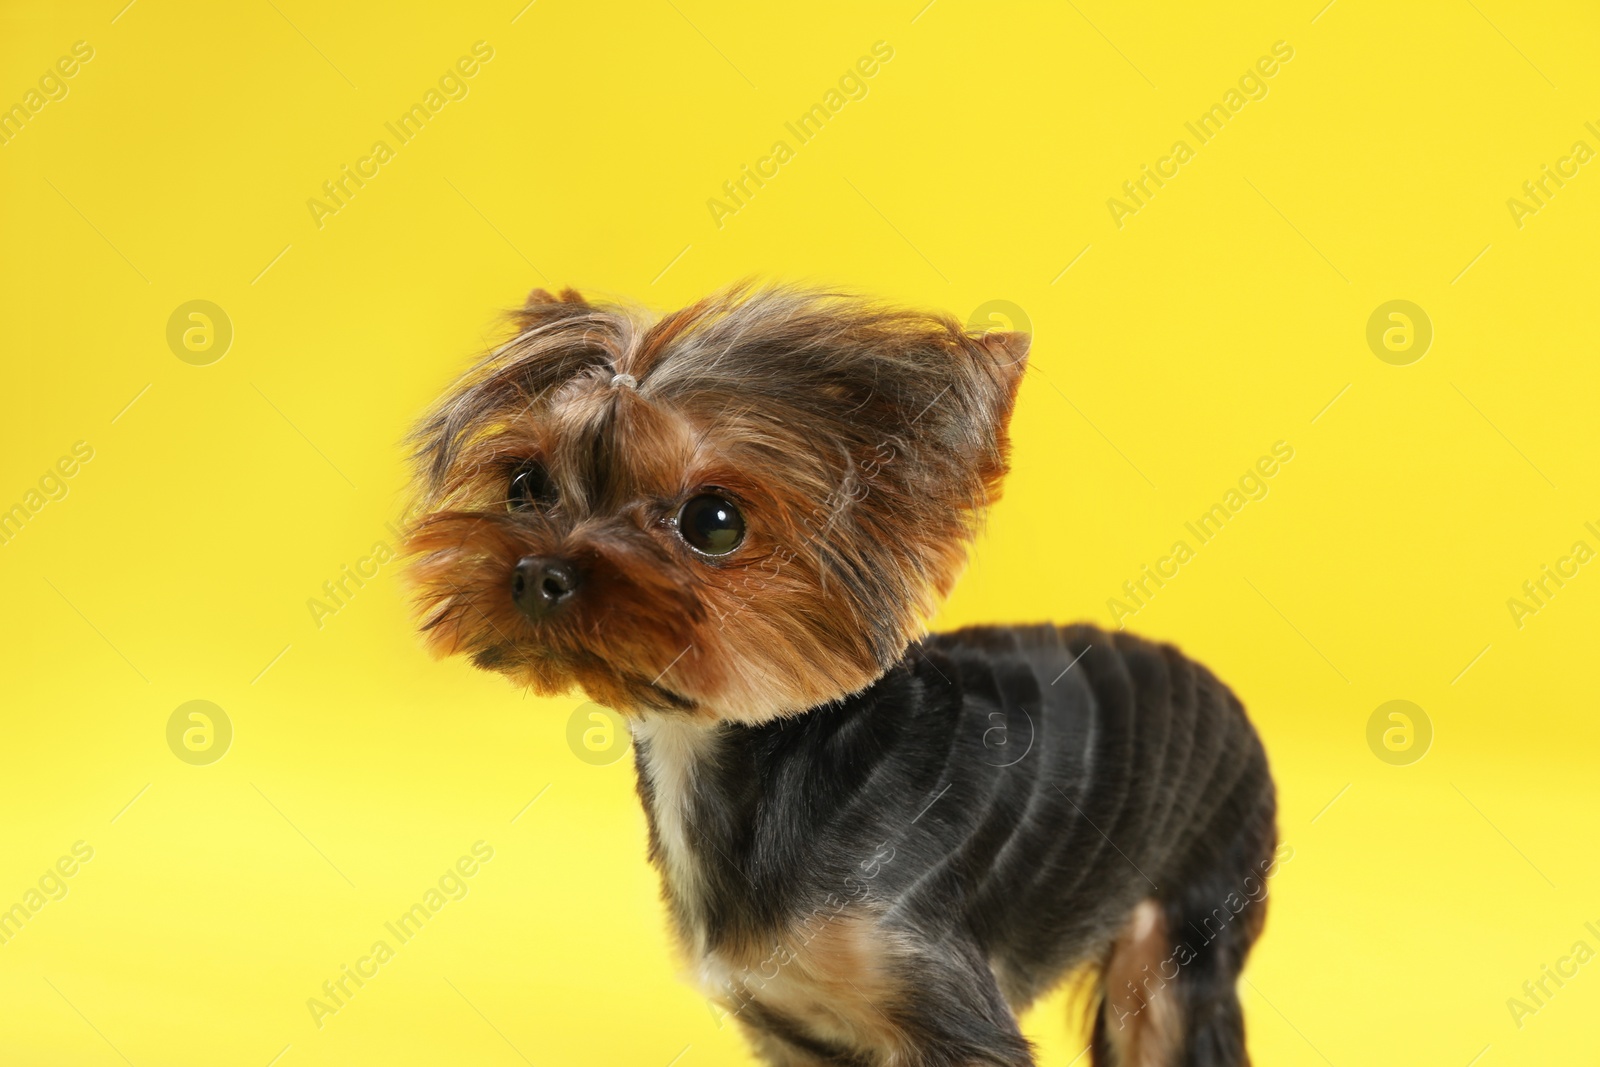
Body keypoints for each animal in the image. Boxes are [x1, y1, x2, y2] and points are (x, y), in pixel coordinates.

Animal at [406, 286, 1280, 1067]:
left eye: (713, 522)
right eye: (526, 485)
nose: (537, 574)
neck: (725, 756)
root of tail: (1216, 683)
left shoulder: (945, 1011)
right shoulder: (788, 1025)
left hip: (1180, 938)